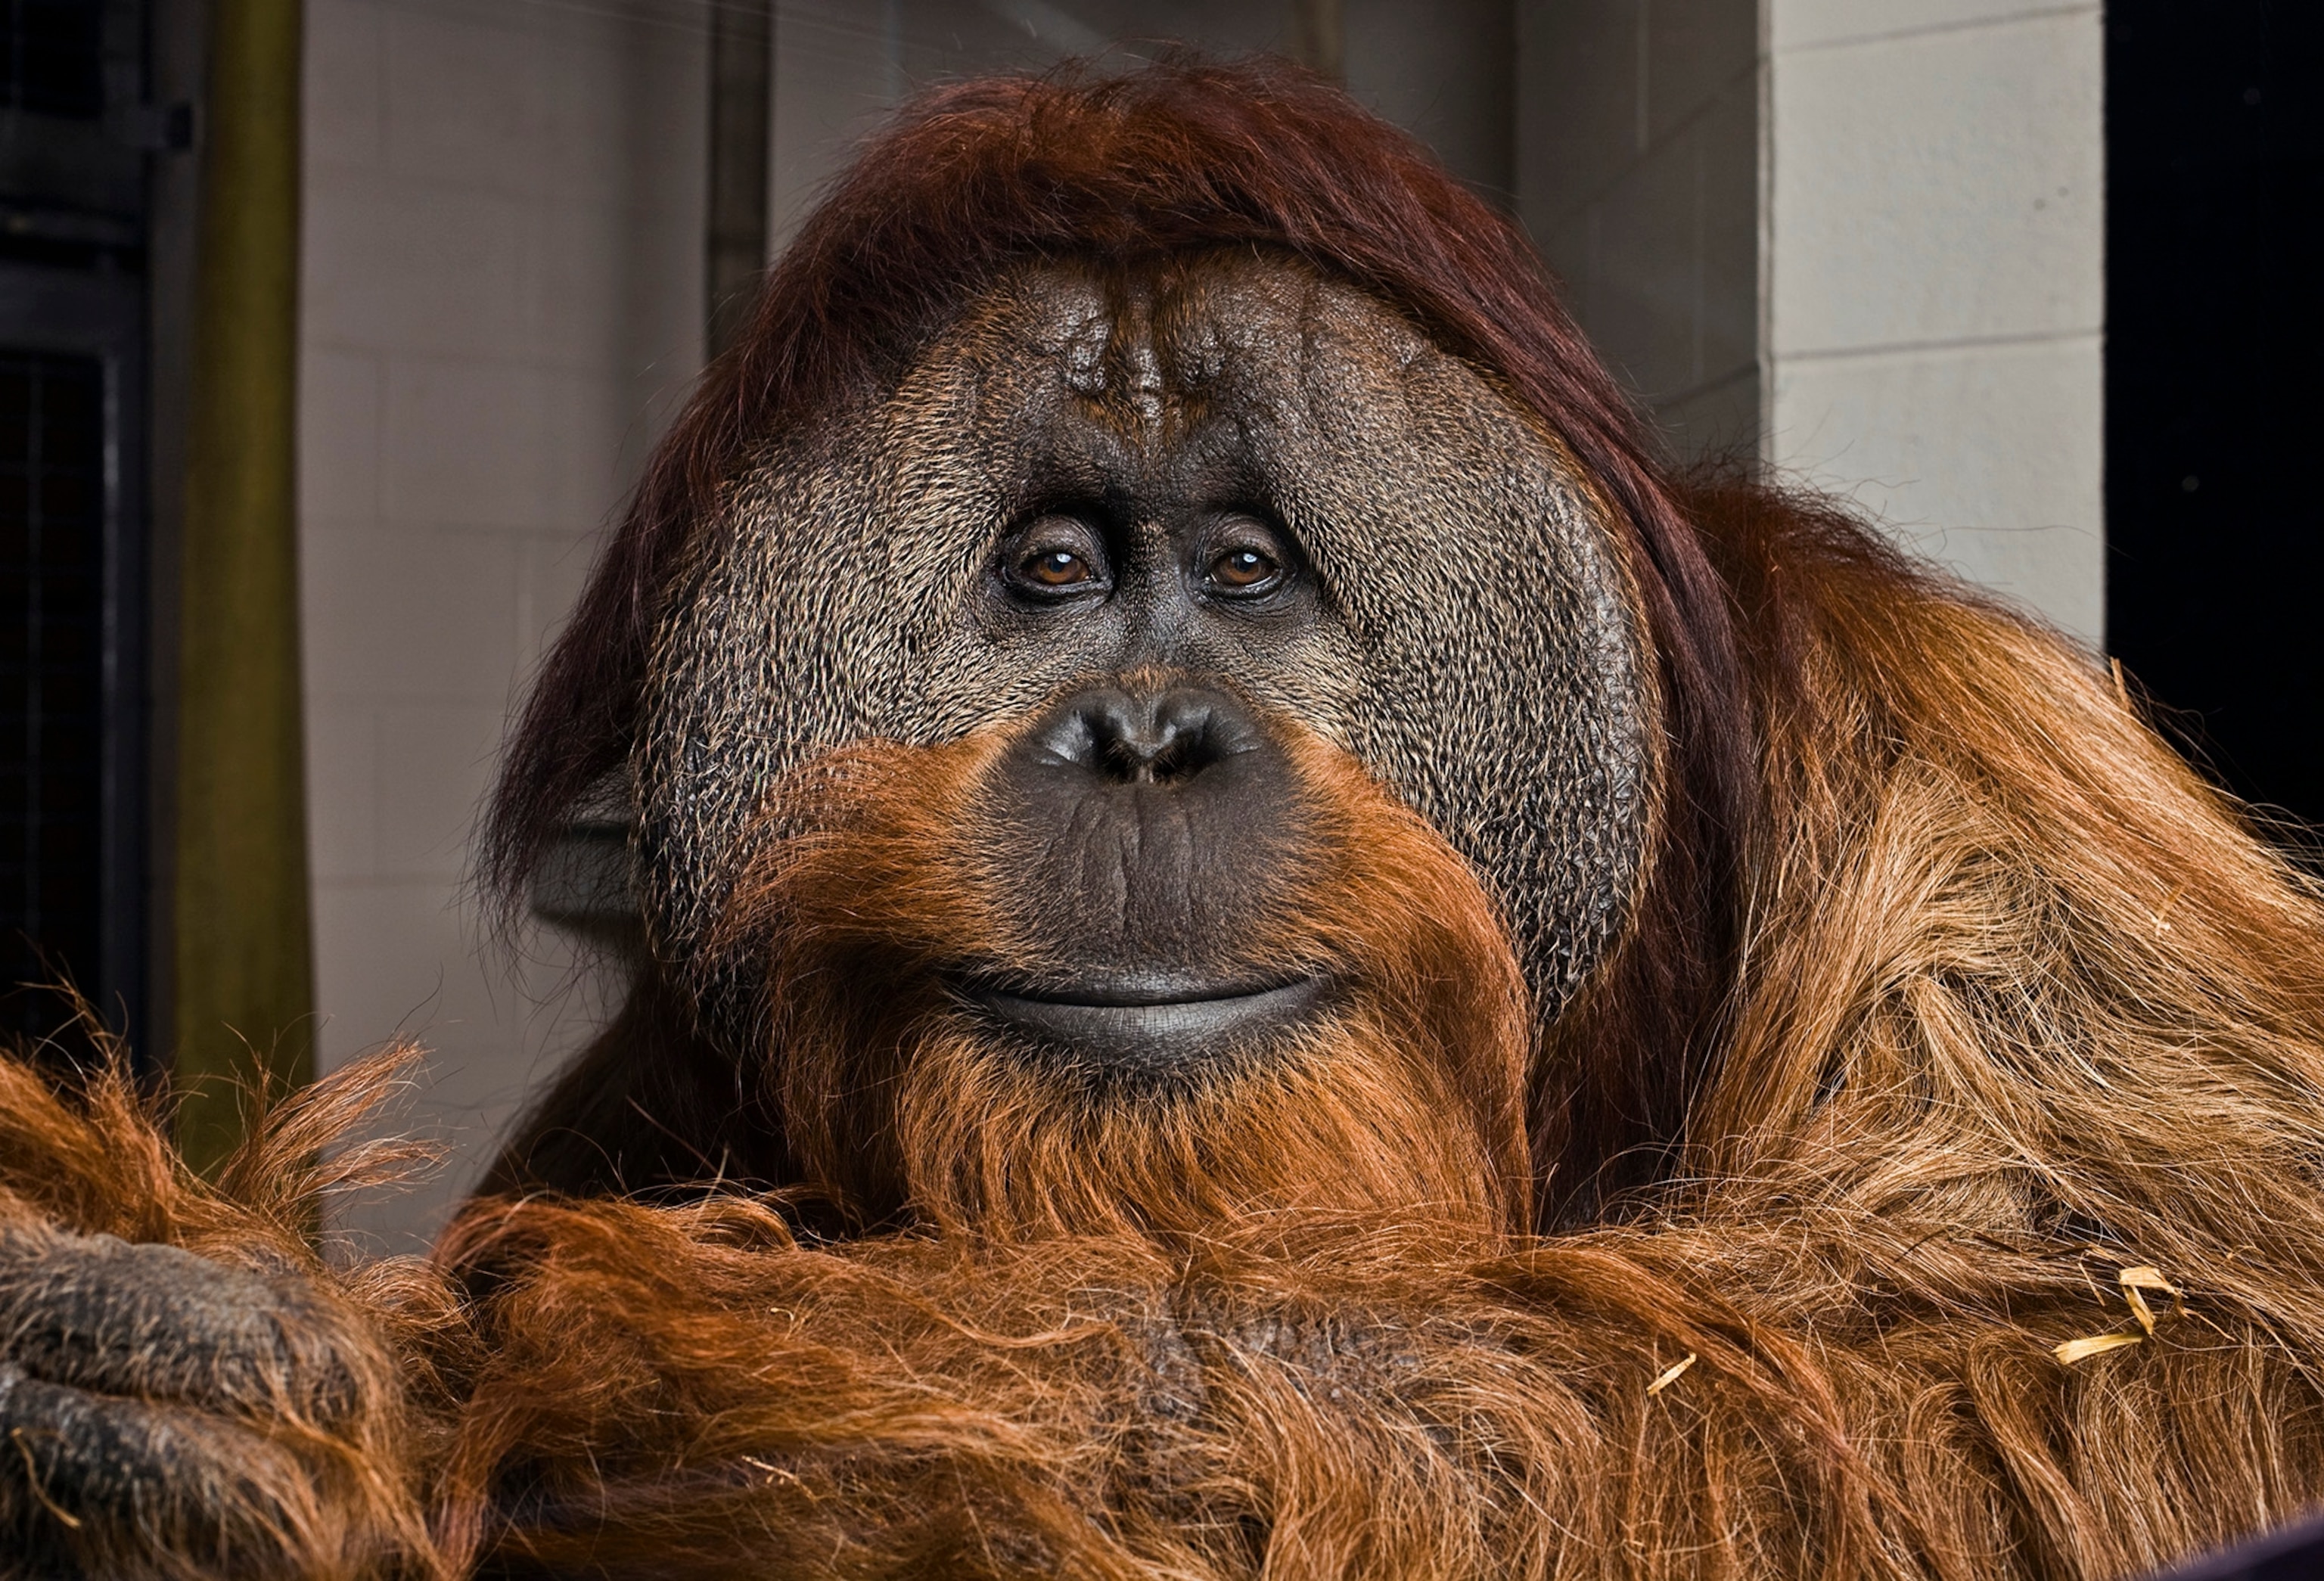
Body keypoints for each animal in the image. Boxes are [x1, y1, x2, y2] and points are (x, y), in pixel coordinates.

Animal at [5, 57, 2324, 1581]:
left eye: (1240, 571)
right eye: (1049, 571)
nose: (1139, 729)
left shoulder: (1957, 771)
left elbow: (2153, 1347)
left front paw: (442, 1405)